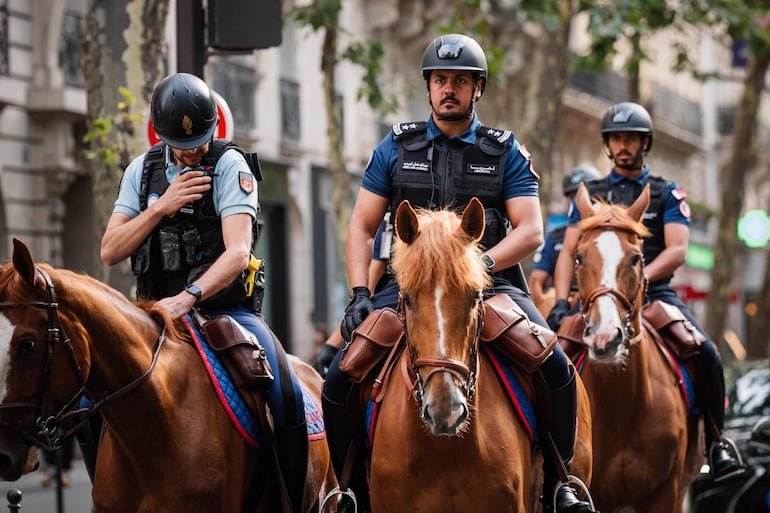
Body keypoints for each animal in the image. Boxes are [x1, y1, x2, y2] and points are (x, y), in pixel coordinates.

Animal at [568, 184, 700, 512]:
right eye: (578, 257)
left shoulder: (665, 494)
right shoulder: (598, 495)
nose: (604, 338)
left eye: (636, 258)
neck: (624, 406)